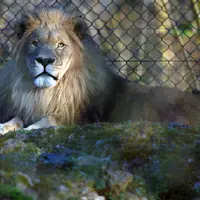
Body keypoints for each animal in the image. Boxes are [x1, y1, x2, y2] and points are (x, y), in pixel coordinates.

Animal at [0, 7, 200, 134]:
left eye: (61, 45)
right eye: (35, 43)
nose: (44, 60)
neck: (48, 92)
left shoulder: (83, 119)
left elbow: (50, 120)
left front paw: (31, 128)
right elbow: (17, 117)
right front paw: (5, 127)